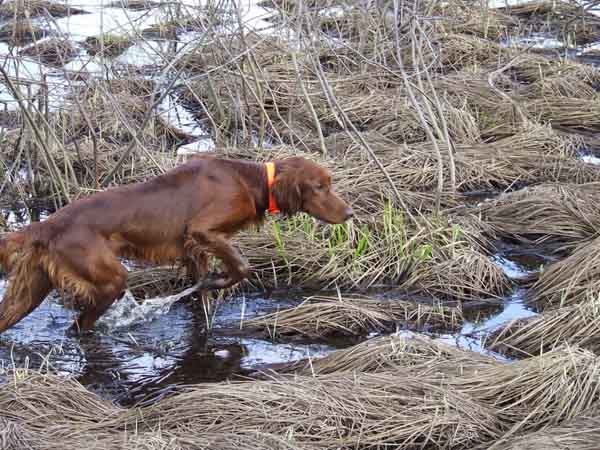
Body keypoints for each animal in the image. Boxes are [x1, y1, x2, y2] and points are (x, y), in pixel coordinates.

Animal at [0, 156, 354, 334]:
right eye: (319, 187)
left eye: (329, 184)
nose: (350, 213)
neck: (247, 180)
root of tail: (46, 224)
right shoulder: (202, 231)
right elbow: (241, 266)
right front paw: (219, 280)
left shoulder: (194, 250)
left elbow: (204, 295)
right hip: (110, 279)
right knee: (79, 326)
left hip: (30, 291)